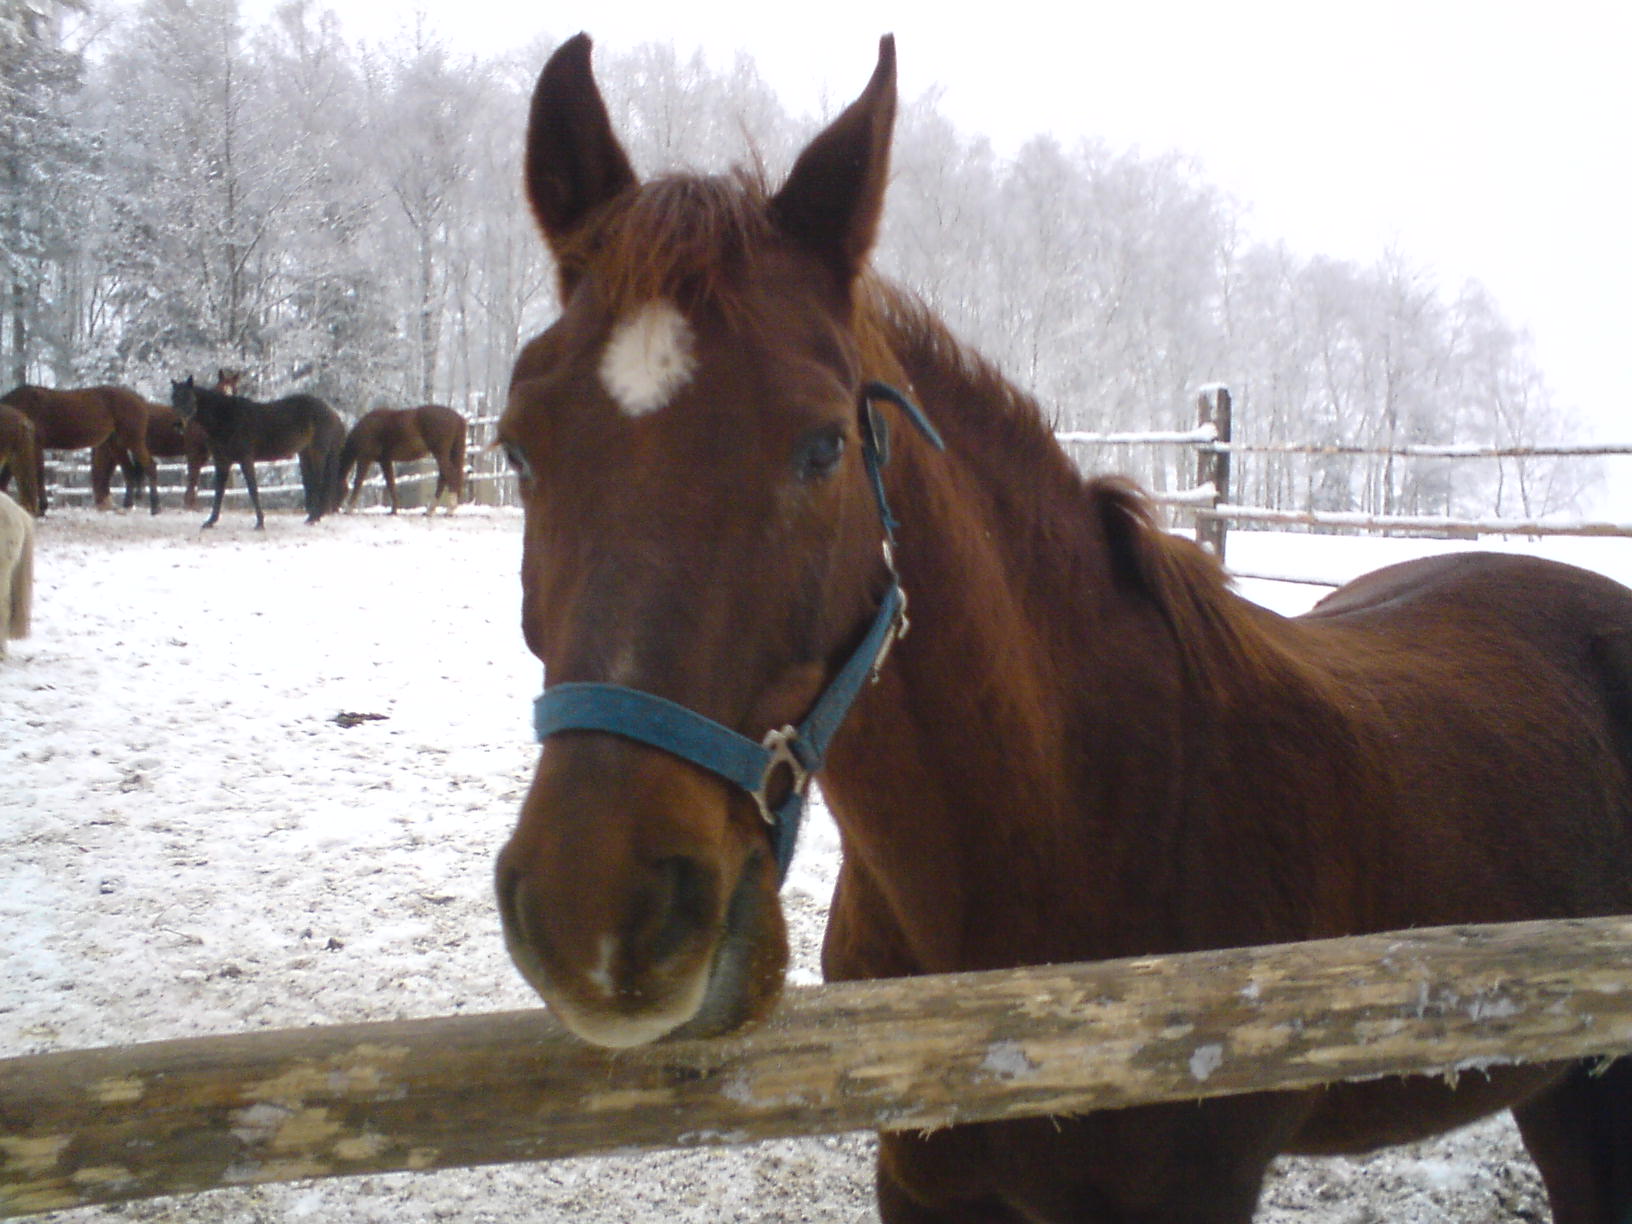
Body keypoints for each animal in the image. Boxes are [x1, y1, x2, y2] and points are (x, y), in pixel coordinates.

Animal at [0, 385, 159, 515]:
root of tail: (139, 399)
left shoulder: (35, 446)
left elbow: (39, 475)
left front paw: (42, 508)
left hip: (133, 441)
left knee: (150, 467)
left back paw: (155, 507)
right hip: (116, 444)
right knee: (129, 470)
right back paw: (127, 505)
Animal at [170, 373, 345, 528]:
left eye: (190, 398)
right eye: (173, 399)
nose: (178, 425)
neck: (227, 419)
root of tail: (332, 412)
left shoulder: (246, 460)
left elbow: (253, 489)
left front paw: (260, 522)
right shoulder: (222, 462)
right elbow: (219, 492)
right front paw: (211, 521)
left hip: (317, 453)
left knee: (319, 483)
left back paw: (314, 517)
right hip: (305, 454)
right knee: (312, 483)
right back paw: (313, 517)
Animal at [337, 404, 466, 515]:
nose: (335, 509)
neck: (367, 427)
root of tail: (457, 417)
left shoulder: (365, 458)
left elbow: (358, 481)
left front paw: (349, 509)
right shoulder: (385, 461)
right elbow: (390, 483)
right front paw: (394, 510)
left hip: (440, 454)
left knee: (449, 475)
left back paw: (449, 509)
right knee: (444, 477)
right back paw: (431, 510)